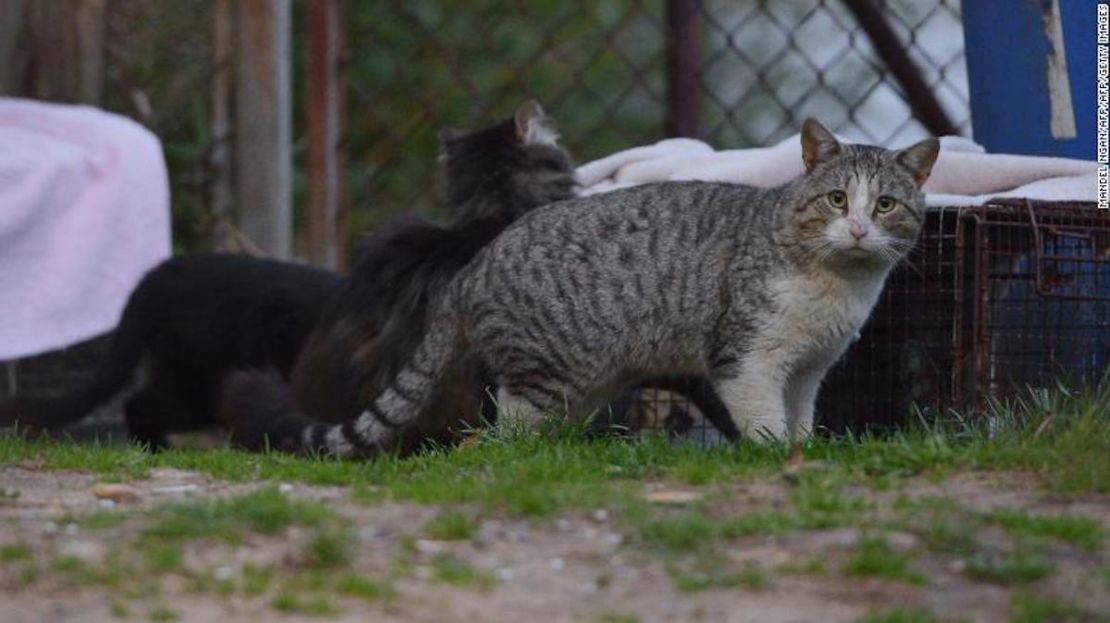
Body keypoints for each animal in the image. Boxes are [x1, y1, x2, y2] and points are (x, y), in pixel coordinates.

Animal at [216, 118, 936, 457]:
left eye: (887, 206)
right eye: (838, 198)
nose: (858, 228)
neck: (838, 288)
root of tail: (477, 264)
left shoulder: (810, 368)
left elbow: (801, 418)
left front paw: (800, 453)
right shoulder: (746, 355)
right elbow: (760, 416)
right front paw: (770, 457)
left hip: (584, 379)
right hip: (548, 369)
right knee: (502, 429)